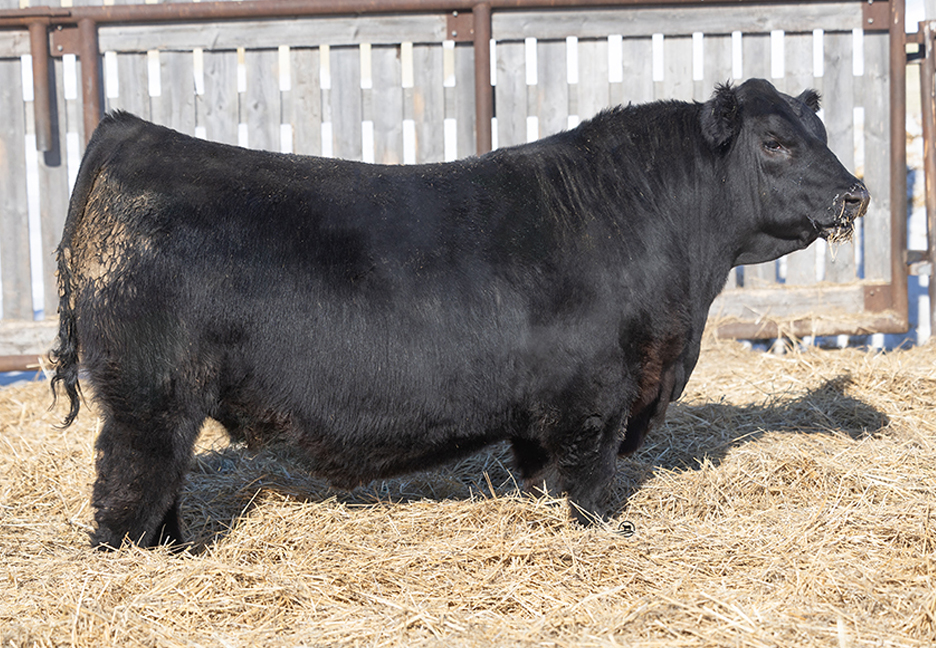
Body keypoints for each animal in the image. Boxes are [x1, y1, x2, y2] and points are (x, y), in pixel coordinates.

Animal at [51, 78, 869, 549]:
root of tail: (132, 132)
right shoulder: (593, 395)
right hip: (149, 399)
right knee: (128, 487)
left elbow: (542, 470)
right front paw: (615, 528)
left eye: (821, 135)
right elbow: (592, 480)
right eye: (774, 142)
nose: (856, 193)